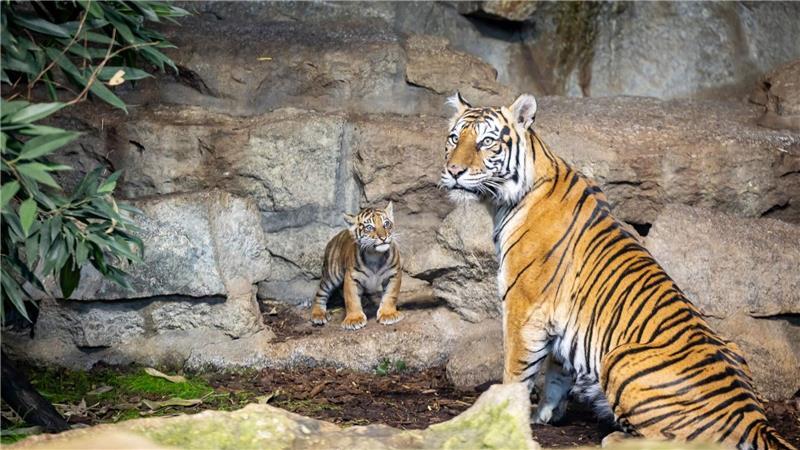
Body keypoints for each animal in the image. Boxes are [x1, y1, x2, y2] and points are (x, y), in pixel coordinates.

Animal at [439, 92, 795, 450]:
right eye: (454, 138)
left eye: (486, 142)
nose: (453, 171)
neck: (503, 201)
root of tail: (755, 420)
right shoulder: (558, 322)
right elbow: (556, 372)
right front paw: (545, 414)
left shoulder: (523, 308)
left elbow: (516, 371)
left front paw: (502, 416)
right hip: (732, 349)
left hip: (619, 358)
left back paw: (613, 436)